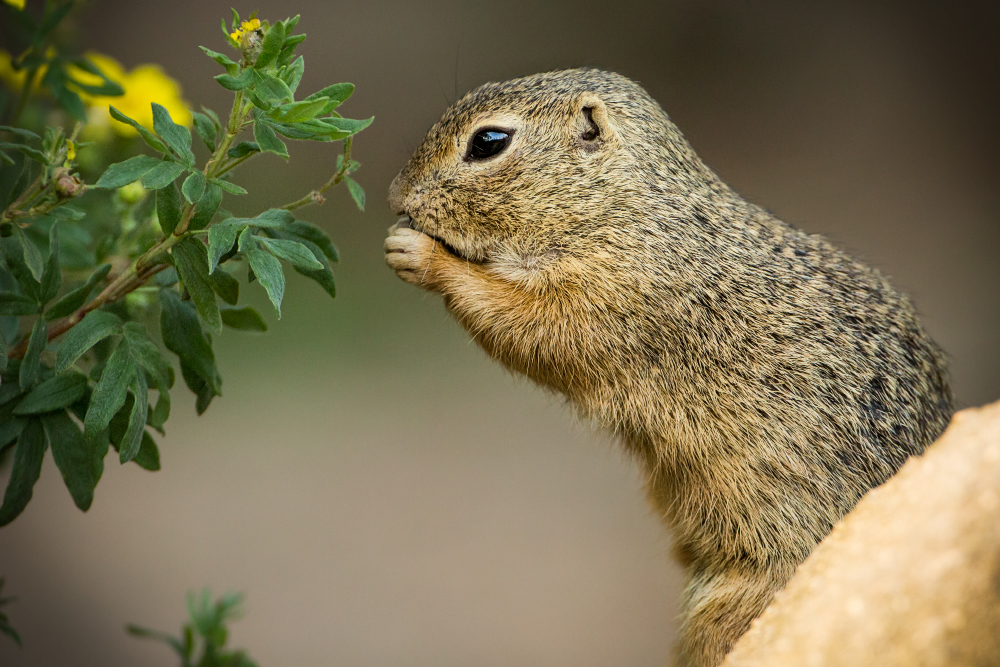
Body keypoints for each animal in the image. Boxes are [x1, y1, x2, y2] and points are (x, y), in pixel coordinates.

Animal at [382, 68, 952, 667]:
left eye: (488, 142)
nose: (395, 194)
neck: (630, 209)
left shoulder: (606, 298)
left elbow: (523, 324)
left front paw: (417, 253)